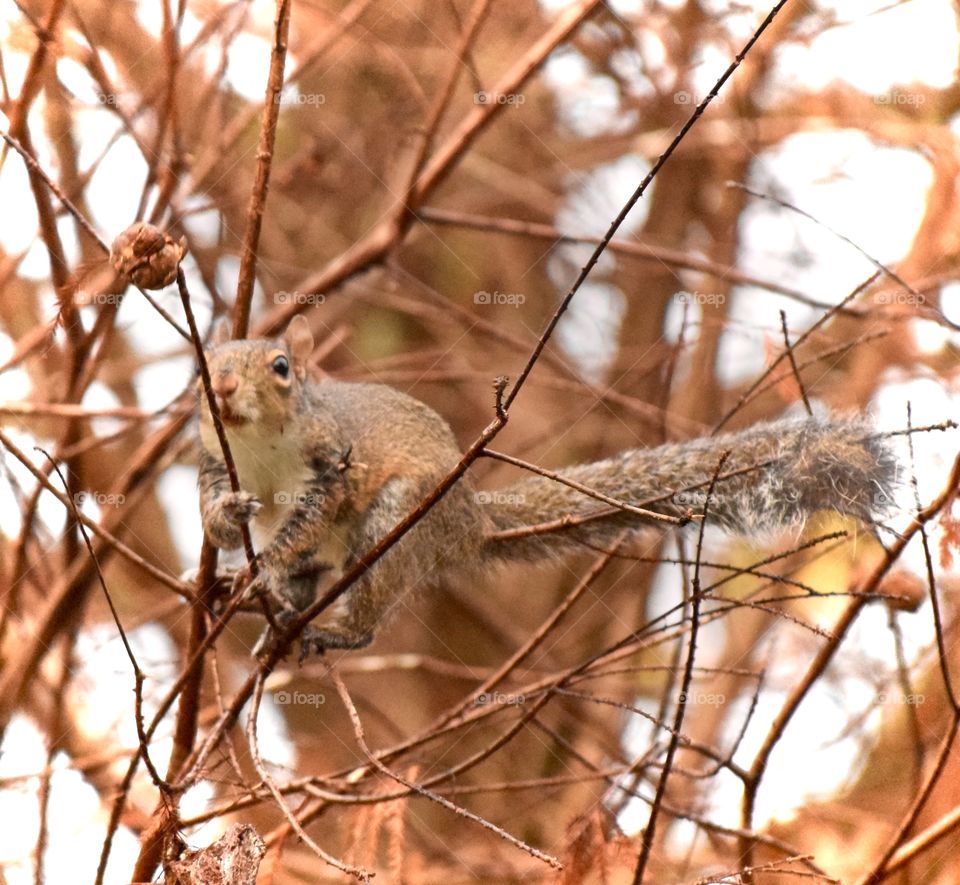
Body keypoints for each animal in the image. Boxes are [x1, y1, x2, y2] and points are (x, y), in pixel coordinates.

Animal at [197, 316, 897, 657]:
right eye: (204, 365)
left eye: (282, 368)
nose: (224, 389)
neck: (259, 450)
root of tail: (471, 520)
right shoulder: (213, 461)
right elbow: (213, 504)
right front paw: (228, 530)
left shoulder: (333, 466)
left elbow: (309, 517)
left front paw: (262, 566)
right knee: (310, 577)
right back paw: (271, 610)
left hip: (398, 521)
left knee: (367, 600)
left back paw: (330, 626)